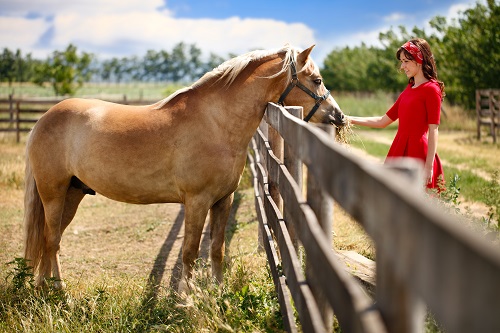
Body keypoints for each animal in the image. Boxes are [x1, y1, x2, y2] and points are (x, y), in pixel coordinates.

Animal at [22, 44, 344, 290]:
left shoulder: (223, 200)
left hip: (72, 193)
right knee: (51, 241)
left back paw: (44, 289)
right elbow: (189, 252)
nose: (338, 116)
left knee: (50, 242)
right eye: (316, 80)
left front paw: (218, 293)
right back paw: (58, 293)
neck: (216, 122)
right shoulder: (197, 201)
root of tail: (44, 119)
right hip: (53, 193)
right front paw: (186, 299)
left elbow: (216, 249)